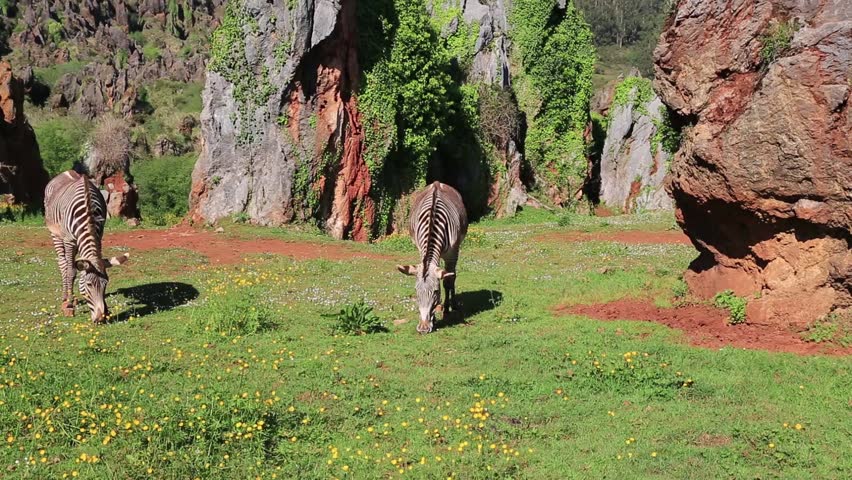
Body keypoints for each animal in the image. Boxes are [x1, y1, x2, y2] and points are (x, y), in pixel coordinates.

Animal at [45, 170, 129, 323]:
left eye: (106, 283)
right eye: (89, 285)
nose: (100, 318)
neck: (88, 213)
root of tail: (66, 172)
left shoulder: (99, 236)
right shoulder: (69, 240)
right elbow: (71, 271)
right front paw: (70, 306)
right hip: (55, 234)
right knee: (63, 264)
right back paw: (65, 298)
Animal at [397, 181, 468, 334]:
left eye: (436, 292)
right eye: (416, 291)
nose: (423, 329)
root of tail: (437, 183)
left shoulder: (452, 253)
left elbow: (447, 281)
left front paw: (446, 310)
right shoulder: (421, 250)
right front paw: (434, 318)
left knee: (452, 276)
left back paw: (453, 305)